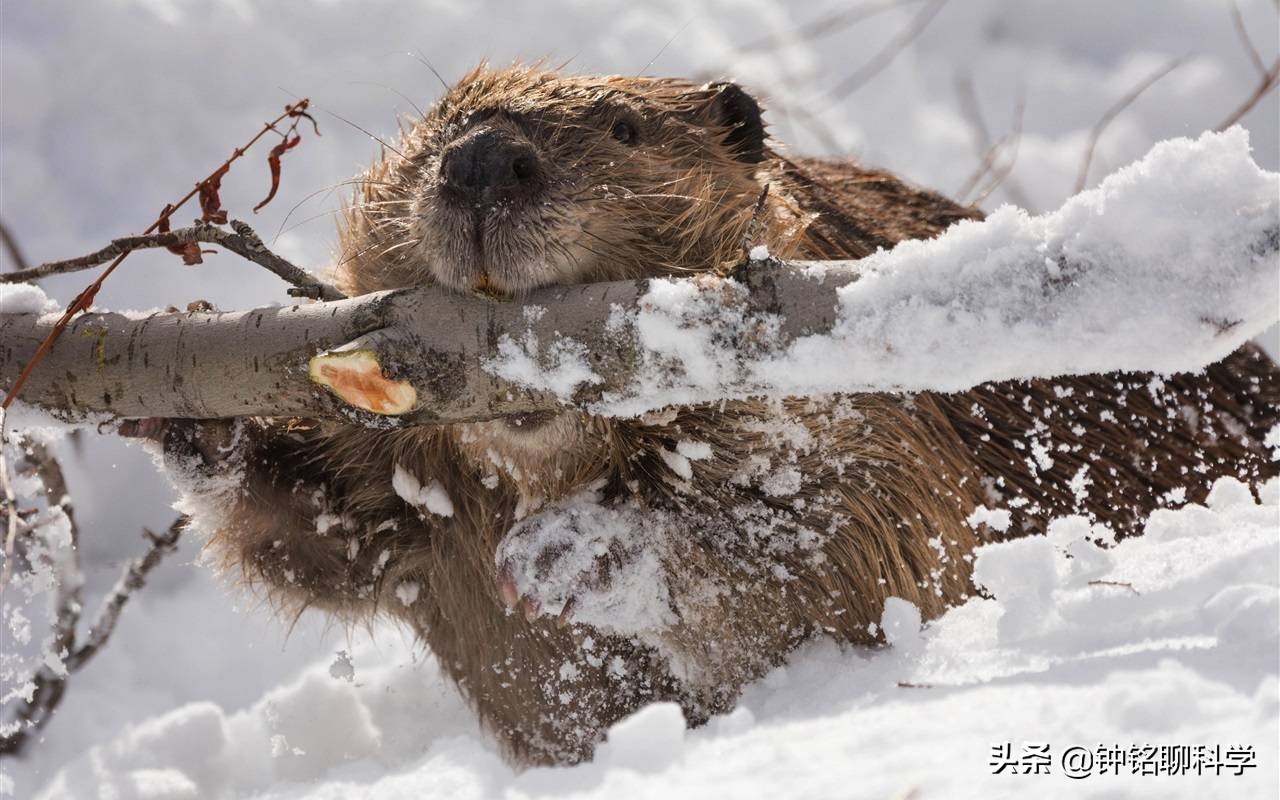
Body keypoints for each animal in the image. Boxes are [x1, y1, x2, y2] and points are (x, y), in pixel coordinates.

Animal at [154, 67, 1280, 762]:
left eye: (624, 125)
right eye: (430, 132)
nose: (479, 165)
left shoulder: (877, 407)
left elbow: (868, 535)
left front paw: (573, 551)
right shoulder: (420, 502)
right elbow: (322, 536)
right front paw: (194, 410)